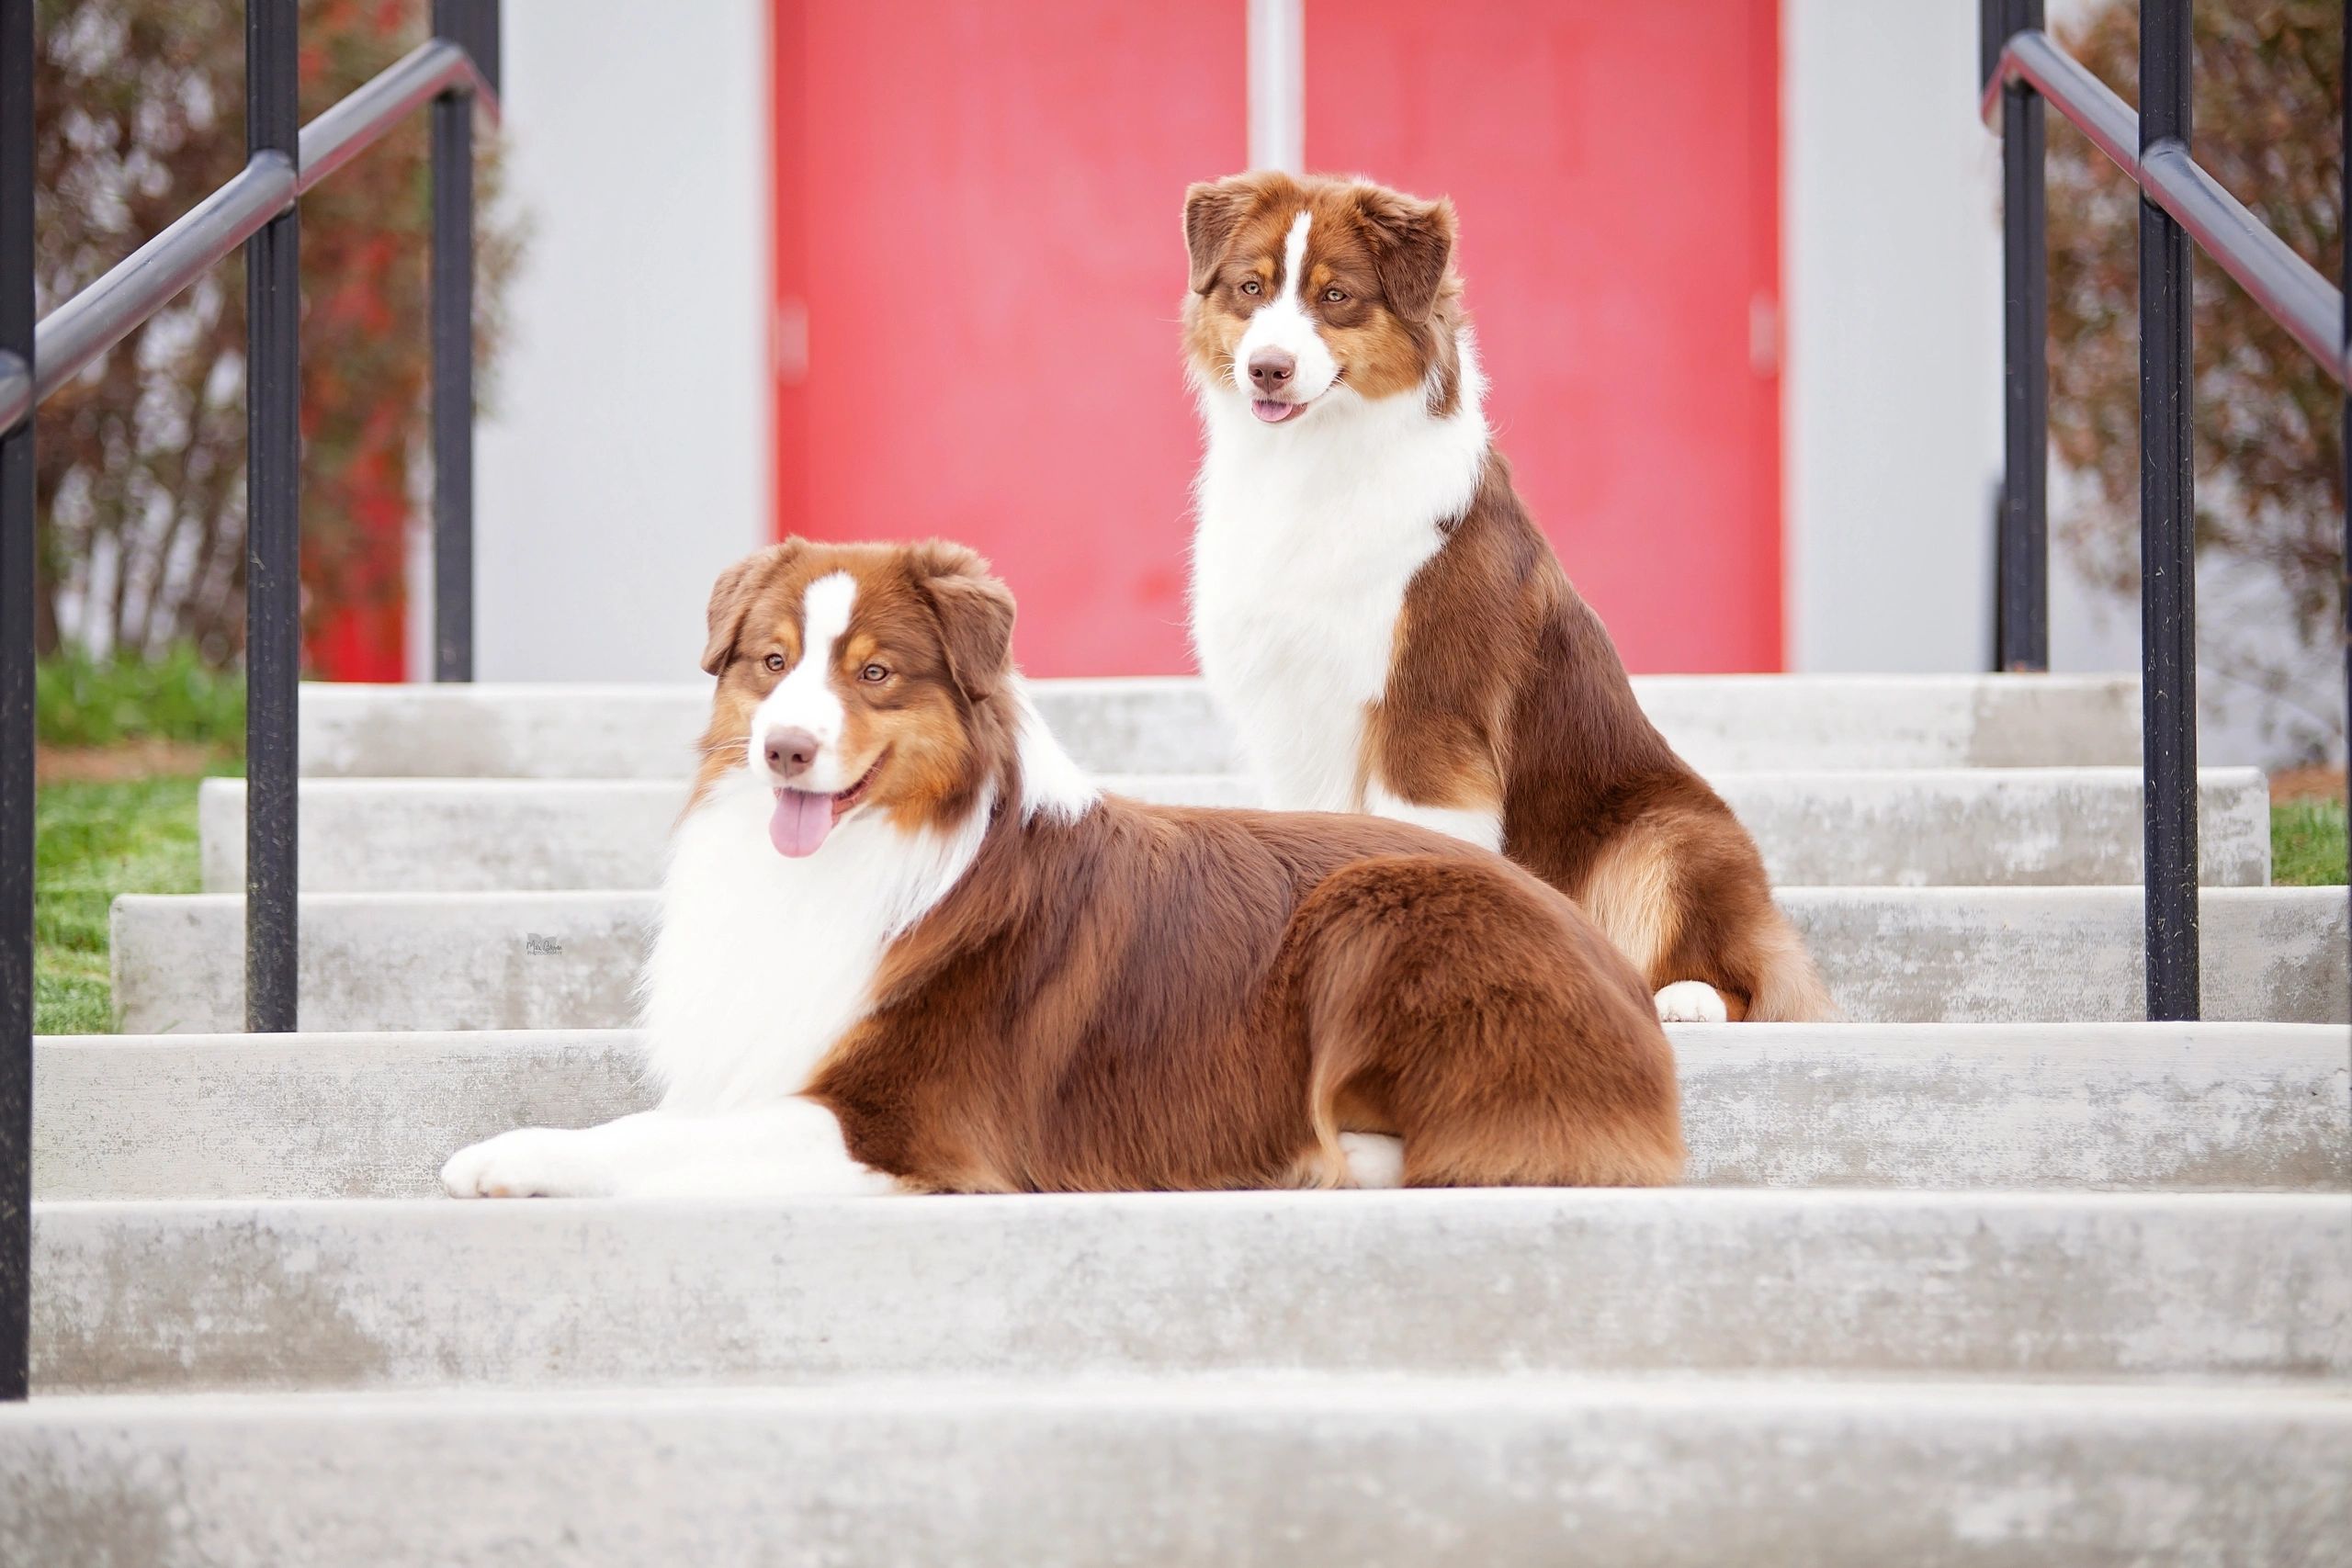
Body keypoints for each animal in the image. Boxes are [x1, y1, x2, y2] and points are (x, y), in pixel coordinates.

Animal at [442, 540, 1683, 1203]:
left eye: (876, 674)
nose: (784, 749)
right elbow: (657, 1121)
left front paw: (506, 1154)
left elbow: (652, 1138)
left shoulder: (907, 1121)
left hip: (1380, 908)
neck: (872, 856)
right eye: (771, 662)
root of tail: (1620, 971)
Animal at [1185, 175, 1825, 1029]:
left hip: (1669, 828)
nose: (1268, 369)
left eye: (1336, 296)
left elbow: (1419, 836)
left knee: (1743, 969)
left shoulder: (1428, 707)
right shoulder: (1291, 703)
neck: (1313, 461)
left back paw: (1685, 998)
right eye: (1251, 288)